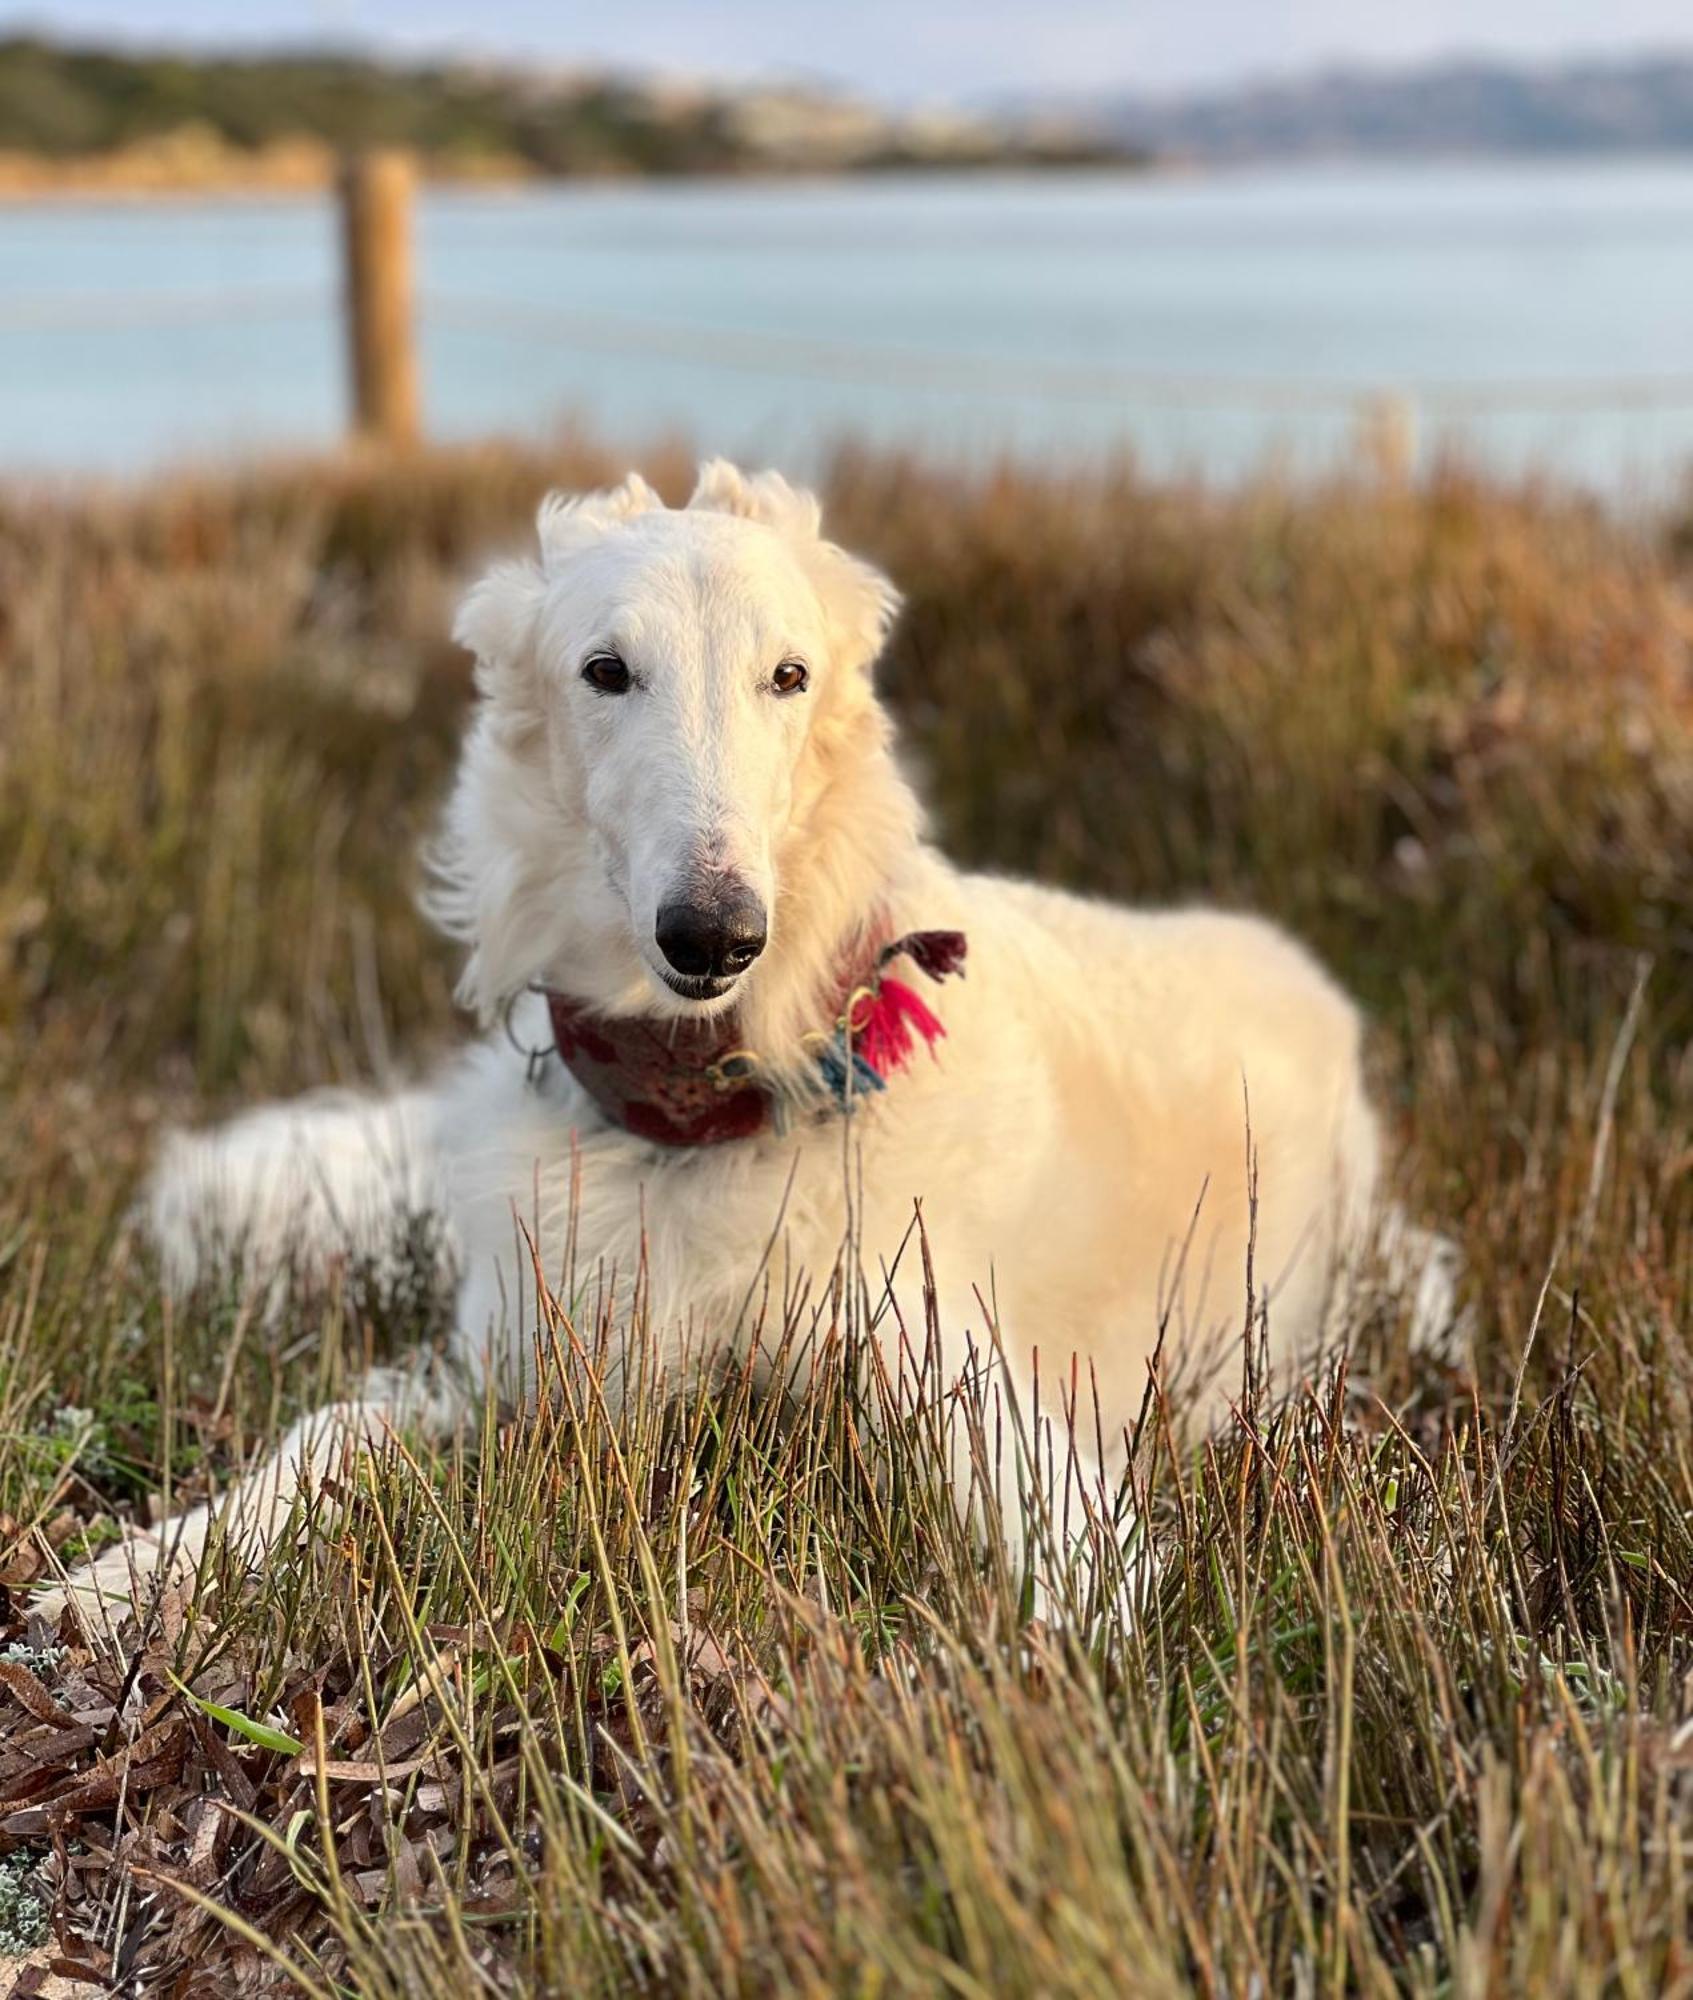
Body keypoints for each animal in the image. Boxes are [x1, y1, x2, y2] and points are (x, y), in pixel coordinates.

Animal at [49, 460, 1456, 1616]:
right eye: (605, 671)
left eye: (788, 675)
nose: (715, 934)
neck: (704, 1111)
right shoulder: (514, 1361)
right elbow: (332, 1428)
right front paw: (139, 1573)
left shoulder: (928, 1346)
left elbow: (1040, 1514)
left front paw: (1102, 1630)